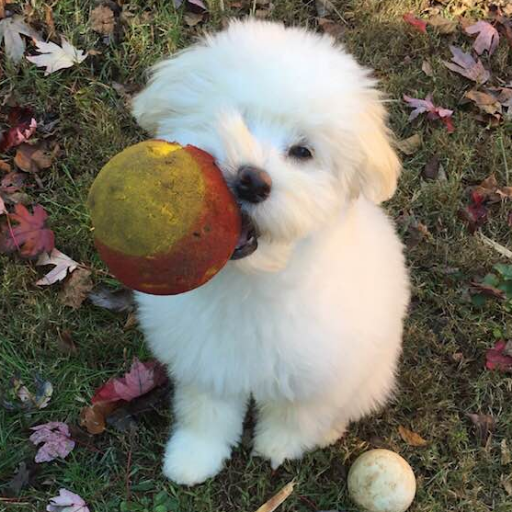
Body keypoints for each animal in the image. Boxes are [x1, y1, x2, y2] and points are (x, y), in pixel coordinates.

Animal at [131, 18, 408, 486]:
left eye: (303, 152)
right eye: (239, 118)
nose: (252, 181)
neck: (251, 280)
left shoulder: (318, 372)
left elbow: (296, 415)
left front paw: (278, 447)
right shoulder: (206, 356)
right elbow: (205, 411)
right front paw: (193, 457)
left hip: (375, 368)